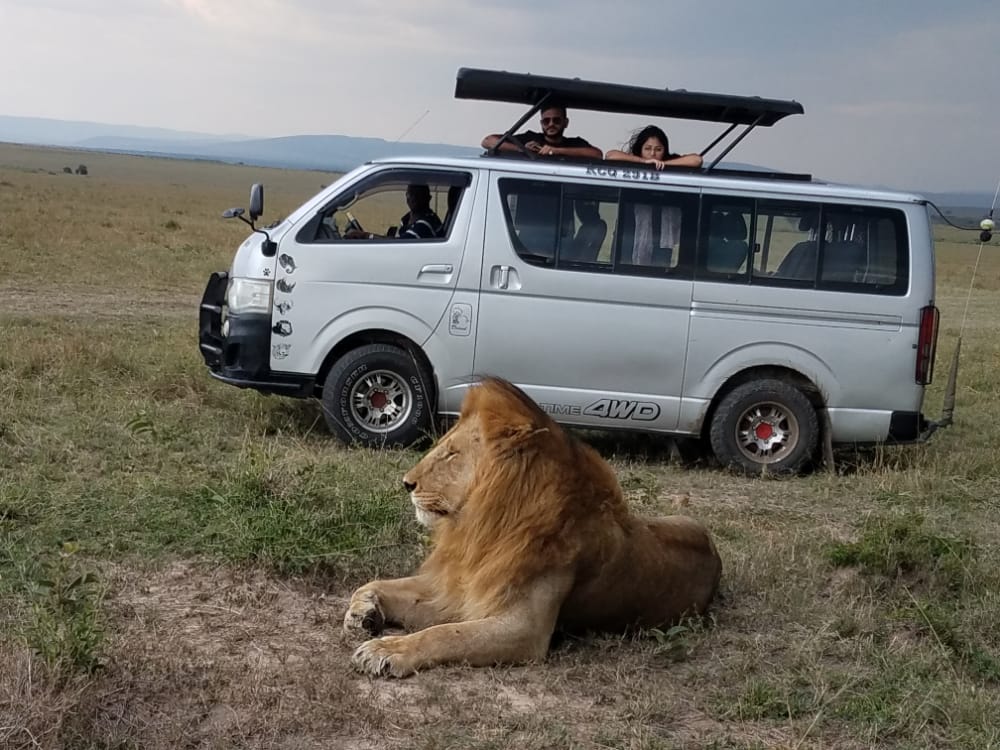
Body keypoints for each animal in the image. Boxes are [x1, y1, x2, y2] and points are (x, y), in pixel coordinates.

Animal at [344, 377, 722, 677]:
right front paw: (363, 611)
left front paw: (387, 650)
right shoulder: (460, 589)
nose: (406, 483)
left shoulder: (525, 630)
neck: (484, 527)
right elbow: (379, 583)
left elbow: (443, 634)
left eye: (451, 454)